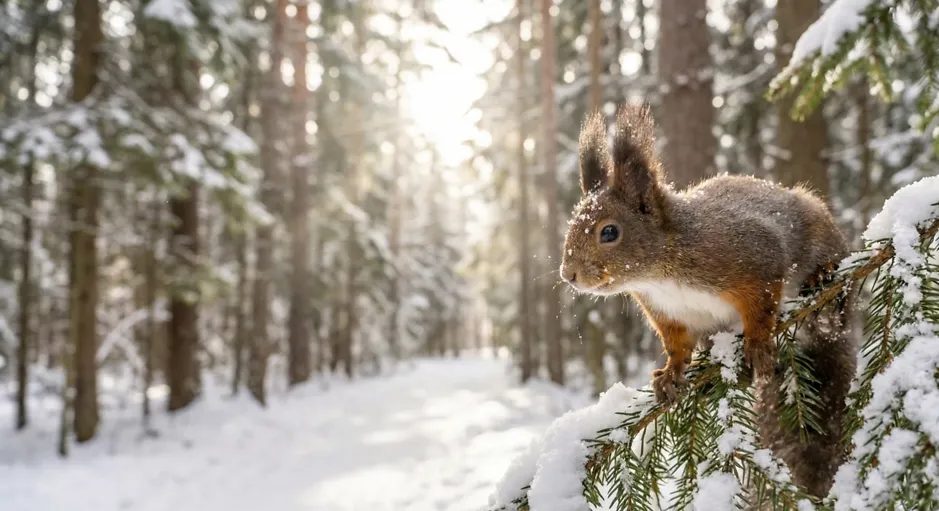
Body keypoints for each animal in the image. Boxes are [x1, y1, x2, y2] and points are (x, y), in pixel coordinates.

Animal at [558, 101, 858, 498]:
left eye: (609, 232)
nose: (568, 274)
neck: (660, 276)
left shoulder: (754, 258)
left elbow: (762, 305)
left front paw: (758, 342)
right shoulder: (668, 314)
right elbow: (677, 346)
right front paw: (670, 374)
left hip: (822, 238)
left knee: (835, 305)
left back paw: (821, 281)